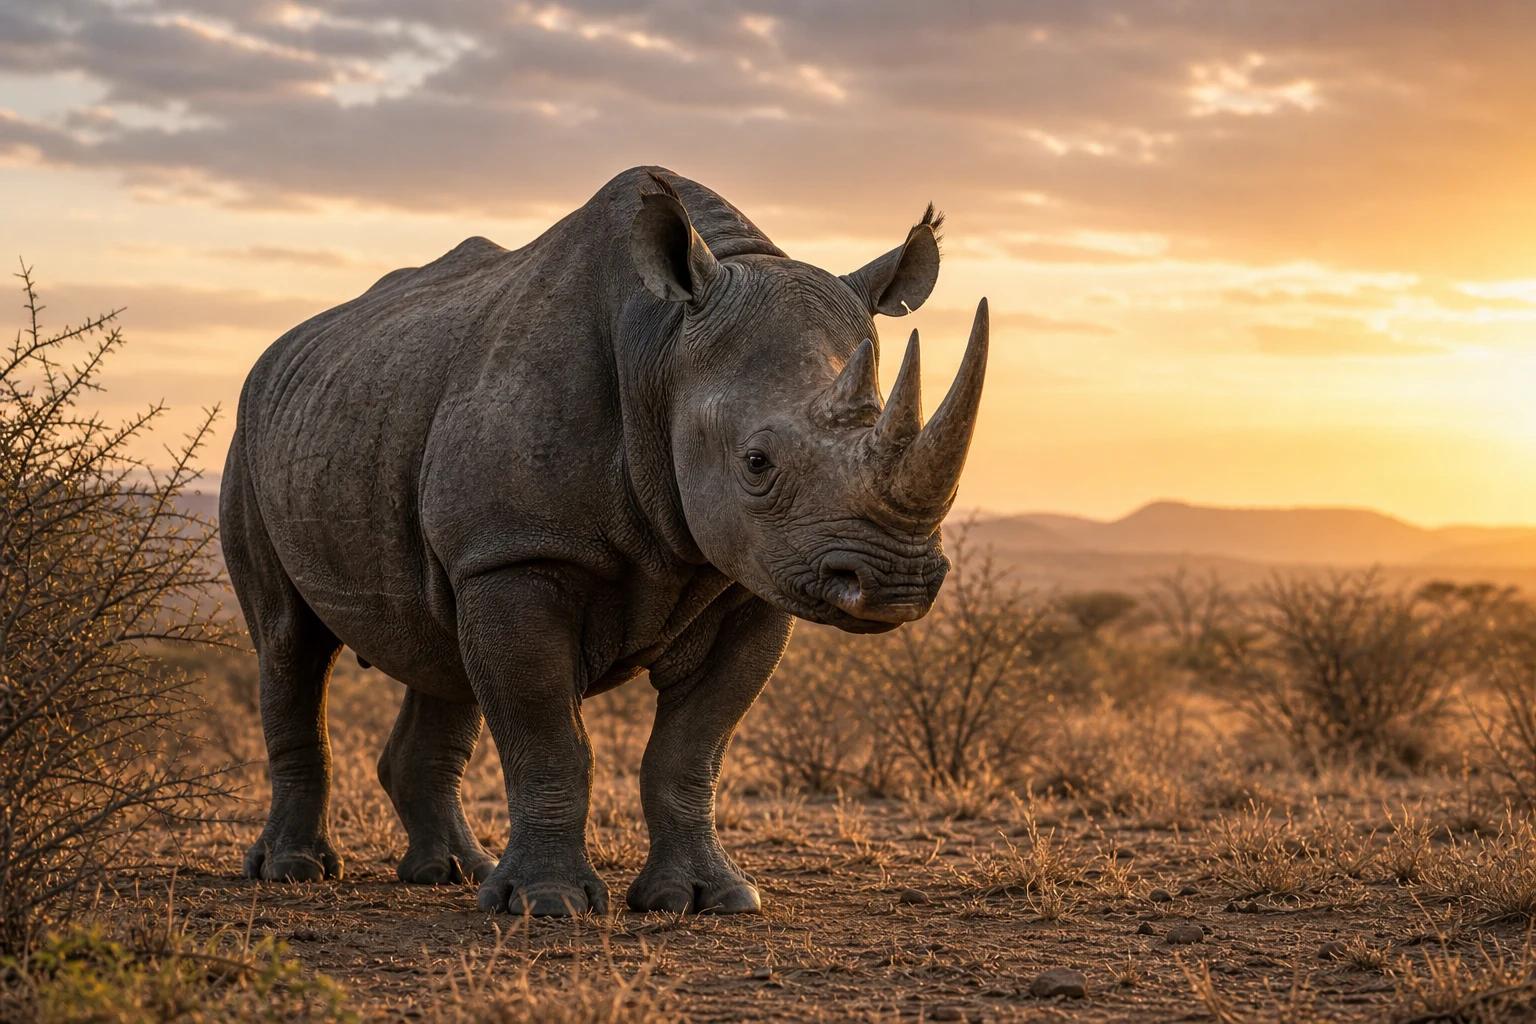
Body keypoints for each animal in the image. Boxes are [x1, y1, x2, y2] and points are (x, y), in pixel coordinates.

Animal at [221, 166, 988, 916]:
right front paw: (547, 905)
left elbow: (692, 747)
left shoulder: (751, 576)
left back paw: (450, 874)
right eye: (757, 462)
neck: (665, 347)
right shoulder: (518, 551)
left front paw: (708, 899)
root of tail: (280, 351)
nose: (896, 583)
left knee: (438, 650)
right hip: (254, 437)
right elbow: (549, 740)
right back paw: (293, 872)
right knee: (290, 641)